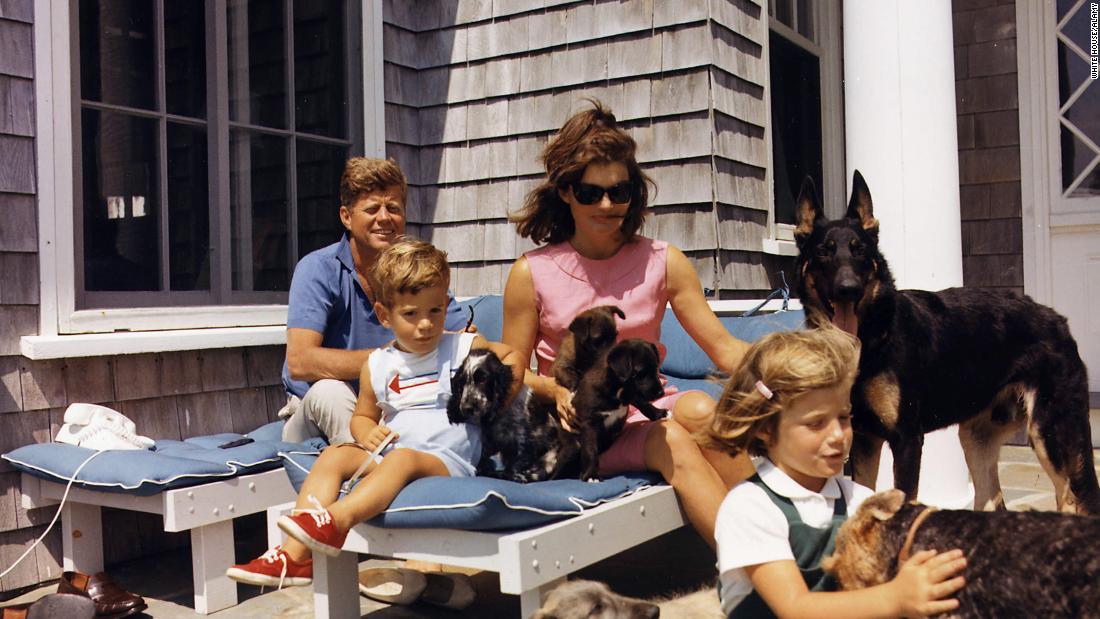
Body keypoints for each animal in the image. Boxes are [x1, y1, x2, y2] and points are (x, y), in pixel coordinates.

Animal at [796, 169, 1095, 514]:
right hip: (976, 439)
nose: (848, 289)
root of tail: (1059, 321)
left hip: (1050, 434)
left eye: (859, 251)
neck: (872, 338)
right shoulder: (864, 439)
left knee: (1070, 499)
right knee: (994, 501)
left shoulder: (906, 440)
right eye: (823, 251)